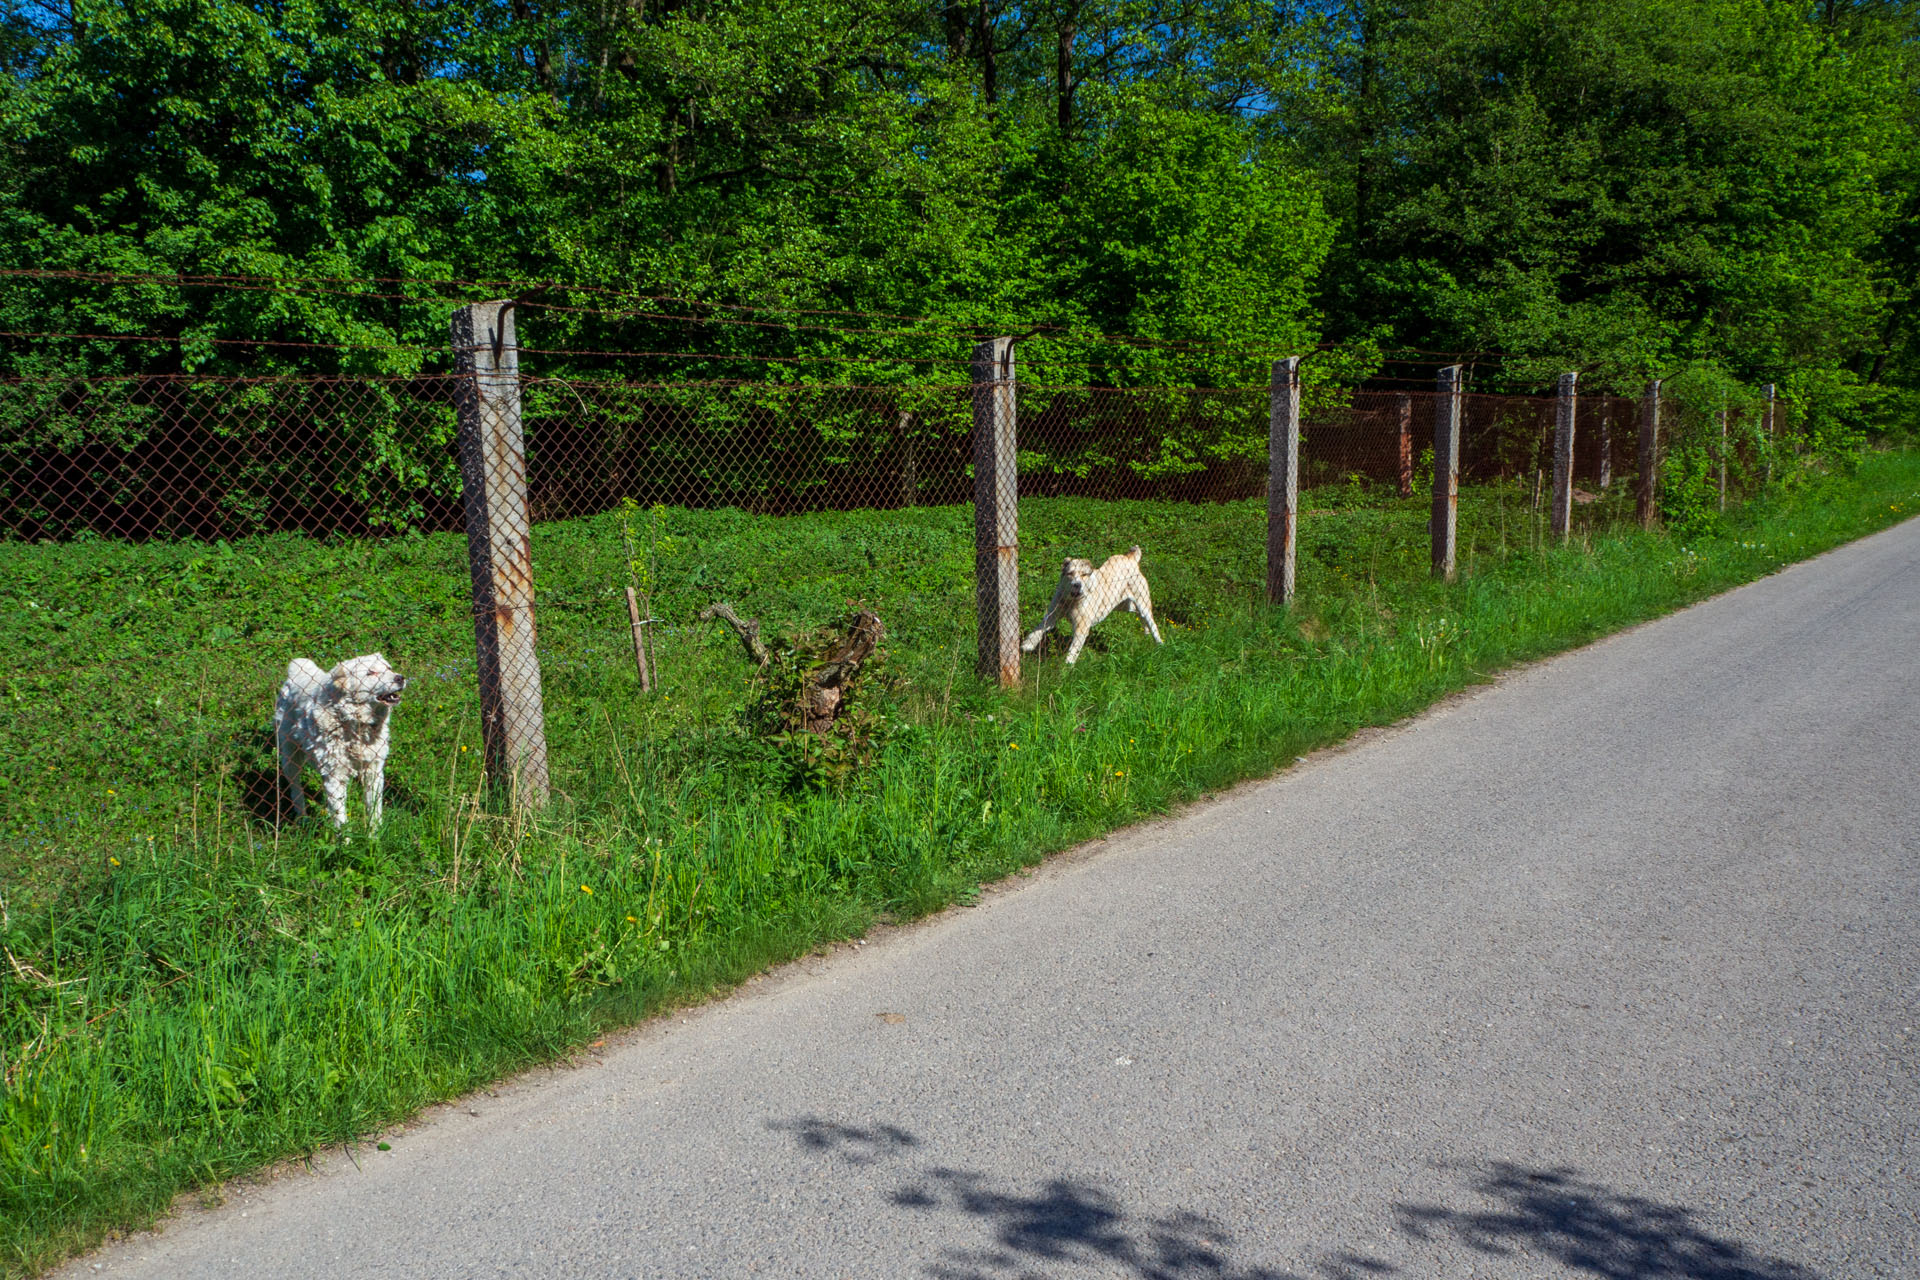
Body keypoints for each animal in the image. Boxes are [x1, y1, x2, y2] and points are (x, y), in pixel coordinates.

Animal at [274, 652, 405, 832]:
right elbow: (341, 821)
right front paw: (346, 840)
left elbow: (374, 811)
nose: (400, 678)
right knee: (296, 788)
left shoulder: (374, 771)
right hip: (290, 757)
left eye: (389, 668)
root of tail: (296, 672)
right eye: (370, 673)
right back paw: (303, 820)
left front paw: (374, 836)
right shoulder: (334, 776)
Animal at [1029, 545, 1159, 667]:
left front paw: (1066, 668)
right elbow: (1038, 629)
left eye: (1084, 575)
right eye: (1070, 573)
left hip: (1143, 606)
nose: (1077, 585)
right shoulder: (1052, 615)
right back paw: (1146, 637)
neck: (1071, 601)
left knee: (1153, 625)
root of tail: (1130, 558)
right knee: (1142, 619)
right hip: (1127, 606)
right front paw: (1027, 645)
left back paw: (1160, 645)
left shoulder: (1081, 627)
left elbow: (1073, 651)